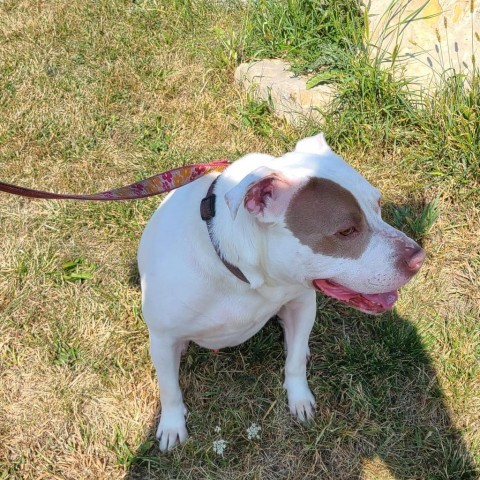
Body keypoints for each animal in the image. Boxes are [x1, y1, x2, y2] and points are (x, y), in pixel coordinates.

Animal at [137, 133, 426, 452]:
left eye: (378, 204)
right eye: (346, 231)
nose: (418, 258)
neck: (245, 276)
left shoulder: (301, 302)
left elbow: (296, 361)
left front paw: (299, 398)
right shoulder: (163, 339)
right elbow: (170, 389)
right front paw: (172, 425)